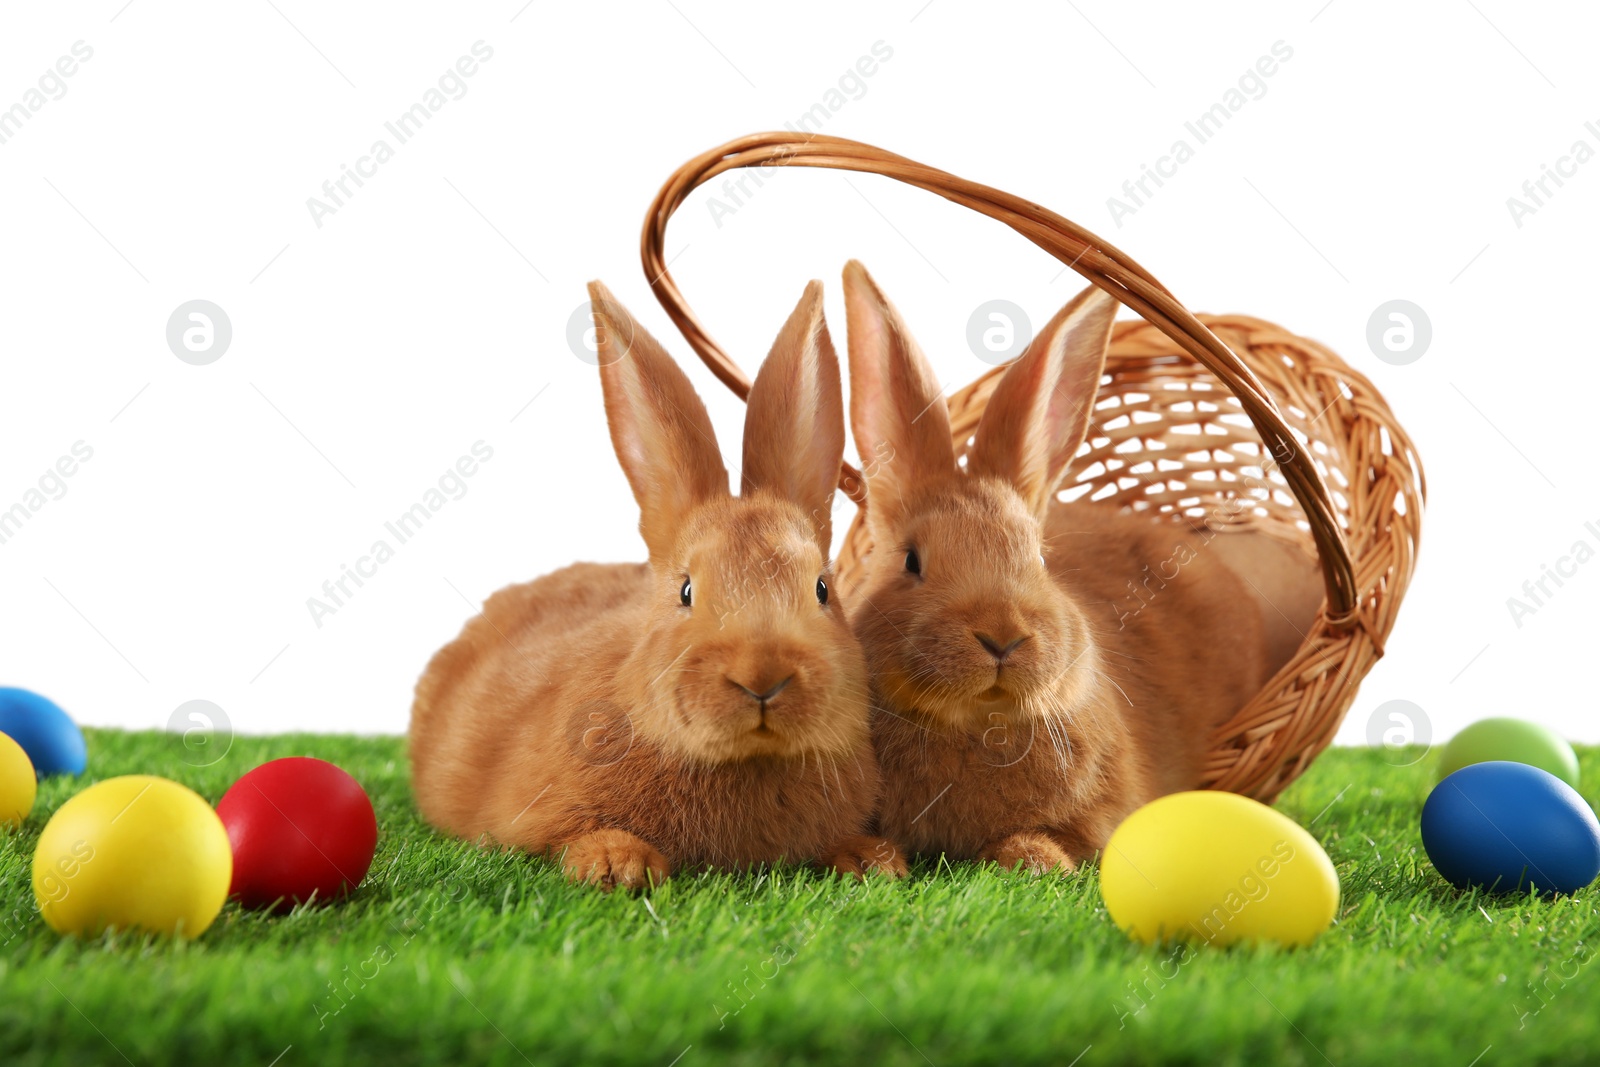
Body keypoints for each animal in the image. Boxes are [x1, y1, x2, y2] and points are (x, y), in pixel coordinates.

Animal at [406, 279, 908, 889]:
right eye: (685, 591)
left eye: (822, 590)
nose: (762, 678)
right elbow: (574, 836)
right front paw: (618, 867)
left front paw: (874, 862)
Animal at [838, 260, 1273, 876]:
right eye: (911, 561)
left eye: (1041, 557)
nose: (1001, 638)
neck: (976, 720)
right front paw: (866, 863)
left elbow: (1053, 841)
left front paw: (1034, 860)